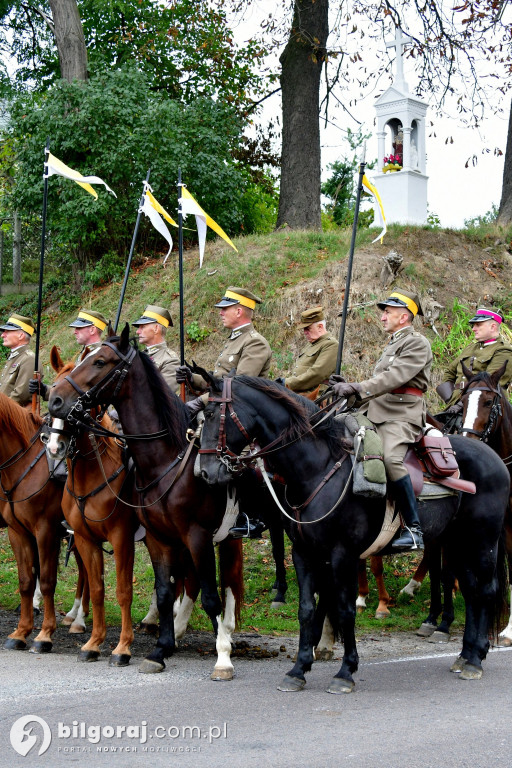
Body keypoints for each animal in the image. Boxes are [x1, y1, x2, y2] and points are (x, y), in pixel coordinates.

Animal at [0, 390, 65, 648]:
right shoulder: (17, 532)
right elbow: (26, 580)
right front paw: (21, 631)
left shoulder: (46, 531)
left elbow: (47, 580)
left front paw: (45, 634)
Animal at [47, 324, 244, 680]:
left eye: (100, 362)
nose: (56, 400)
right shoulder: (138, 538)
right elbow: (125, 588)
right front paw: (143, 648)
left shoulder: (156, 536)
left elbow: (132, 590)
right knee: (189, 582)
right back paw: (175, 629)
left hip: (228, 536)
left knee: (229, 583)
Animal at [195, 376, 508, 692]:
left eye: (210, 414)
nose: (206, 473)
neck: (317, 468)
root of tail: (493, 457)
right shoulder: (304, 553)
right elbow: (306, 609)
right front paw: (298, 669)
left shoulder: (342, 554)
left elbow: (345, 610)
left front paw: (345, 671)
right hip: (456, 543)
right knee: (470, 590)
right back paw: (466, 654)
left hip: (483, 541)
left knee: (486, 589)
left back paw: (475, 660)